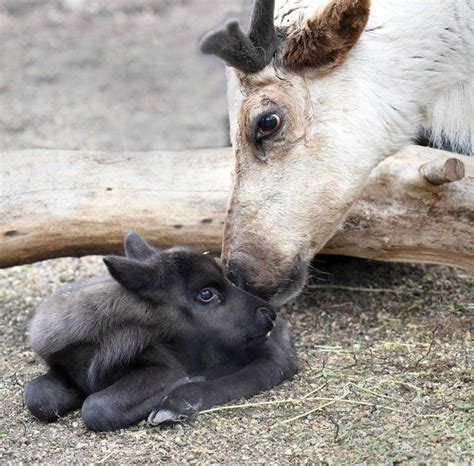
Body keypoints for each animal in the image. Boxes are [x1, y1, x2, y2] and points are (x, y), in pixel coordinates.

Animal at [25, 231, 296, 432]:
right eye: (206, 293)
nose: (269, 314)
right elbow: (36, 396)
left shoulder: (165, 368)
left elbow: (95, 407)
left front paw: (186, 384)